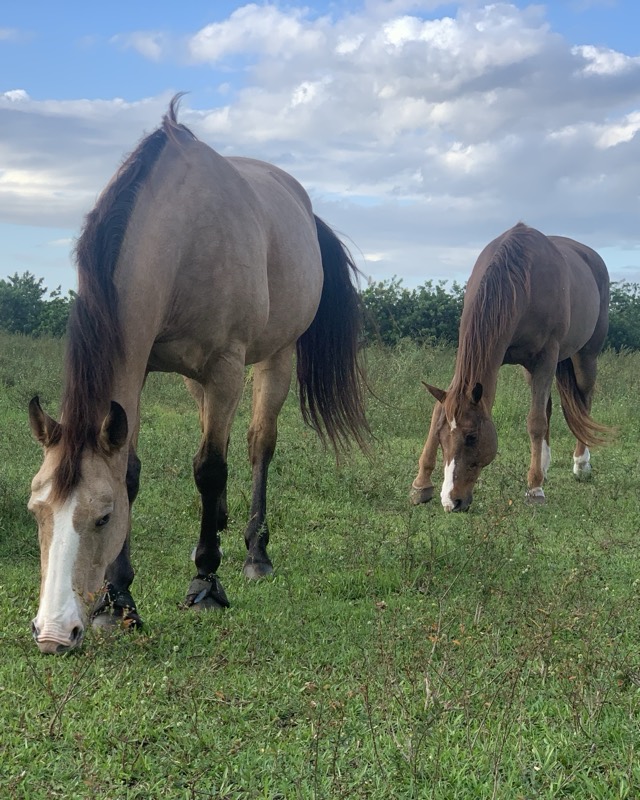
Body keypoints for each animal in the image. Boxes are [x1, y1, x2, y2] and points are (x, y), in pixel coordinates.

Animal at [27, 96, 369, 654]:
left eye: (102, 516)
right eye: (37, 510)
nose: (54, 633)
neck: (184, 233)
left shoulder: (226, 365)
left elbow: (209, 468)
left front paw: (206, 581)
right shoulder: (141, 369)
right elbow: (134, 470)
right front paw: (118, 599)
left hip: (275, 357)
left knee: (256, 444)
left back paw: (254, 552)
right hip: (194, 379)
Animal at [410, 222, 610, 513]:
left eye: (472, 437)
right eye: (441, 436)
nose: (452, 501)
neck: (521, 282)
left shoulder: (546, 357)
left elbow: (535, 421)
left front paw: (535, 489)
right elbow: (438, 410)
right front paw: (421, 485)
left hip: (585, 356)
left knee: (583, 403)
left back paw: (581, 463)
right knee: (548, 406)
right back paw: (544, 465)